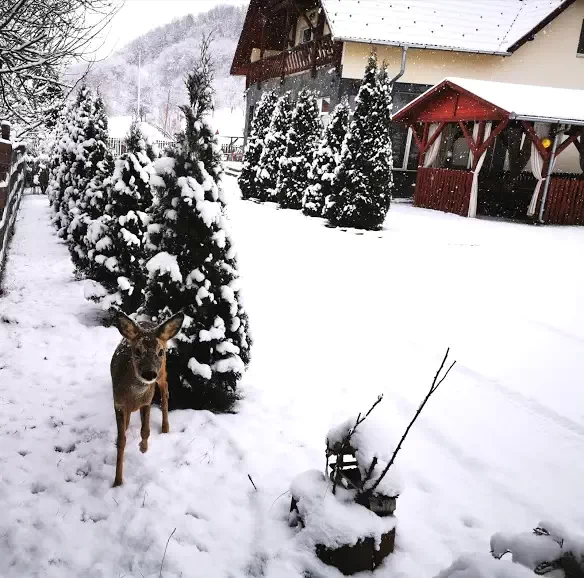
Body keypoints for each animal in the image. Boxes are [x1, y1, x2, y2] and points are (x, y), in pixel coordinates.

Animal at [109, 308, 182, 484]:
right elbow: (121, 440)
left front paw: (143, 448)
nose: (149, 373)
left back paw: (165, 427)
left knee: (165, 389)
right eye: (137, 351)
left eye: (160, 352)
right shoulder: (118, 403)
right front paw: (118, 481)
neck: (134, 396)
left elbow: (145, 430)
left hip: (161, 373)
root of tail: (147, 323)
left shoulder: (147, 401)